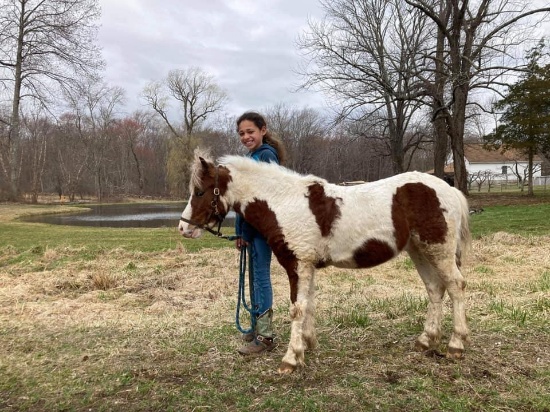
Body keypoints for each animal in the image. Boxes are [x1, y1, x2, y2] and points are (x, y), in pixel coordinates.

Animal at [179, 150, 472, 374]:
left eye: (200, 191)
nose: (184, 227)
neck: (284, 202)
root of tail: (449, 189)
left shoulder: (297, 264)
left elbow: (297, 308)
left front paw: (290, 360)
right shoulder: (307, 266)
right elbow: (309, 305)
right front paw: (306, 345)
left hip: (438, 251)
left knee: (456, 286)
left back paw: (456, 344)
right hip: (419, 250)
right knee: (435, 289)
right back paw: (426, 341)